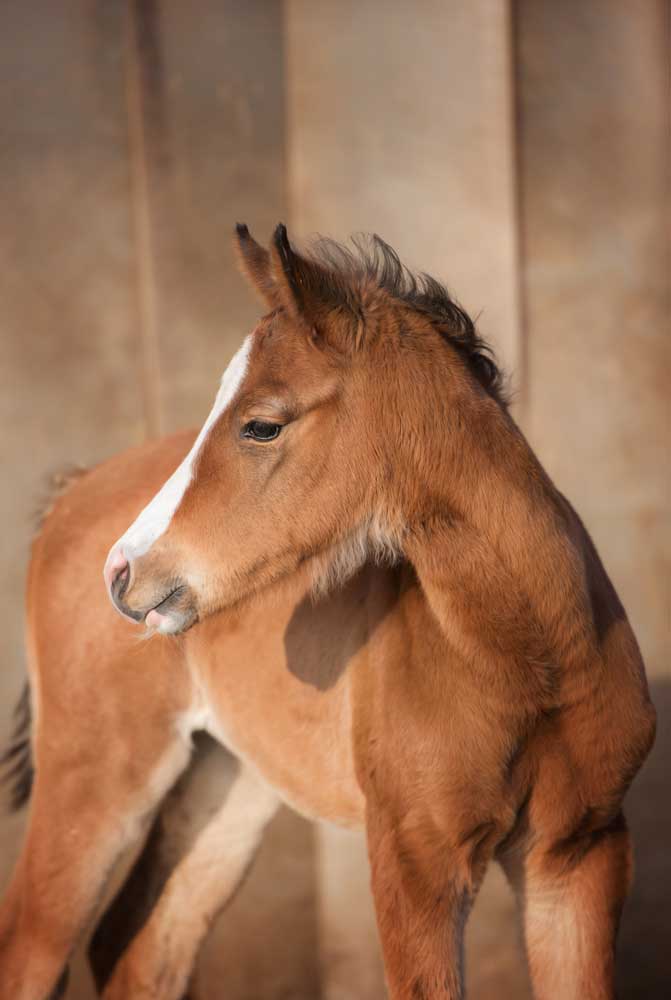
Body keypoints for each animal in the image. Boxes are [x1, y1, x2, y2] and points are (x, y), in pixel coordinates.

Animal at [0, 224, 655, 1000]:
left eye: (260, 425)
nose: (121, 571)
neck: (528, 656)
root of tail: (71, 494)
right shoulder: (414, 862)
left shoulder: (576, 857)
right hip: (94, 773)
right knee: (33, 946)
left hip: (227, 782)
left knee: (140, 945)